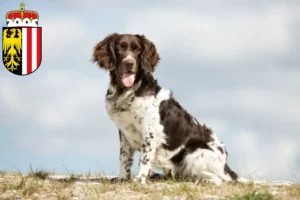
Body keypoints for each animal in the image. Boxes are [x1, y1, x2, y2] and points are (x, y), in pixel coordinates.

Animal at [92, 32, 238, 184]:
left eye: (137, 50)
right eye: (119, 48)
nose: (129, 63)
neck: (127, 91)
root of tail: (226, 167)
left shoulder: (150, 130)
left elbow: (144, 157)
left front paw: (140, 179)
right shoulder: (124, 131)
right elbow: (124, 157)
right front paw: (123, 178)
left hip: (193, 152)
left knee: (219, 179)